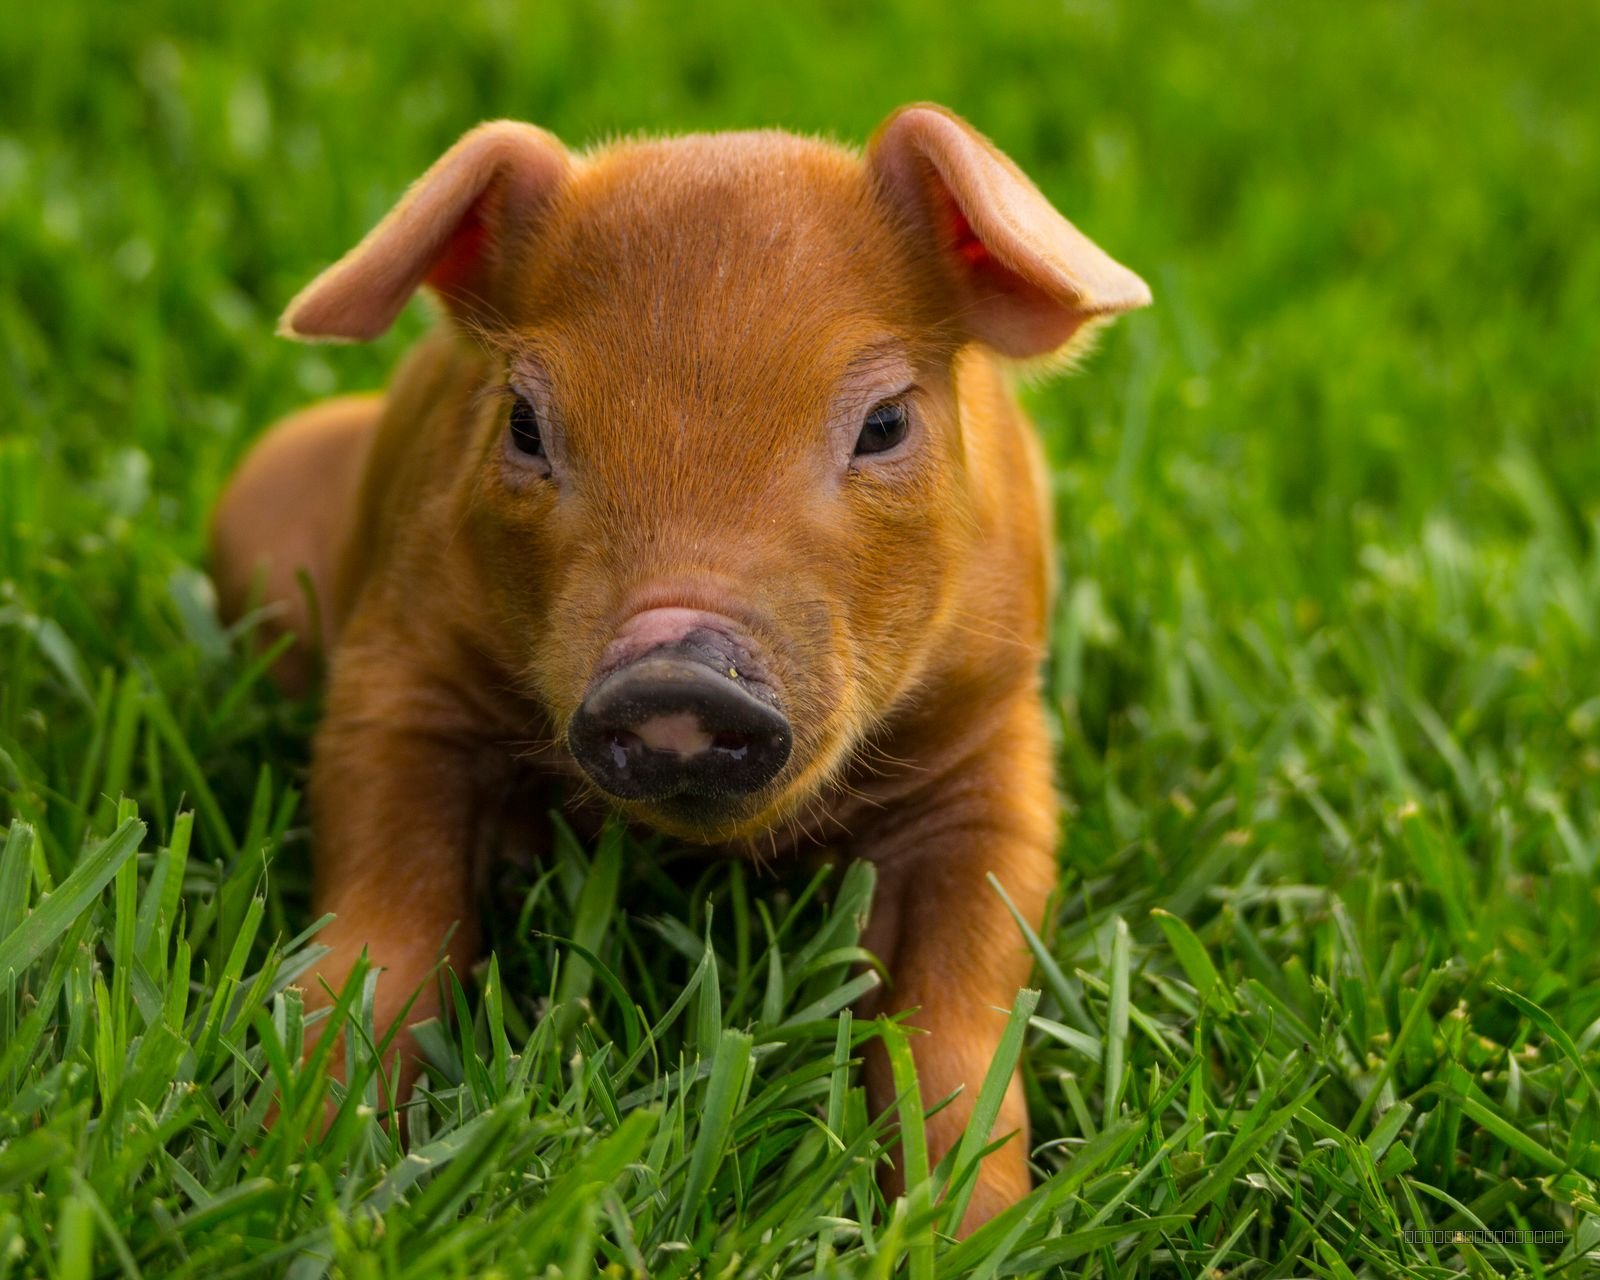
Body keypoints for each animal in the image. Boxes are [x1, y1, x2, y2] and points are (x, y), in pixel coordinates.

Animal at [209, 103, 1150, 1231]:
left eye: (885, 422)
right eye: (524, 422)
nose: (676, 678)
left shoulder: (994, 750)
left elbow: (957, 1020)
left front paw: (968, 1229)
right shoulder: (400, 674)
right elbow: (379, 935)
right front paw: (288, 1172)